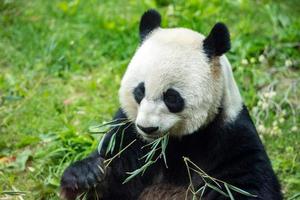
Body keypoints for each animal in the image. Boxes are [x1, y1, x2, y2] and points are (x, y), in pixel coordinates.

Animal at [59, 9, 282, 200]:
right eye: (140, 91)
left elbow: (244, 184)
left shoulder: (230, 136)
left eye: (172, 98)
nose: (147, 128)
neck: (174, 143)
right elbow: (115, 177)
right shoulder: (130, 137)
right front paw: (86, 174)